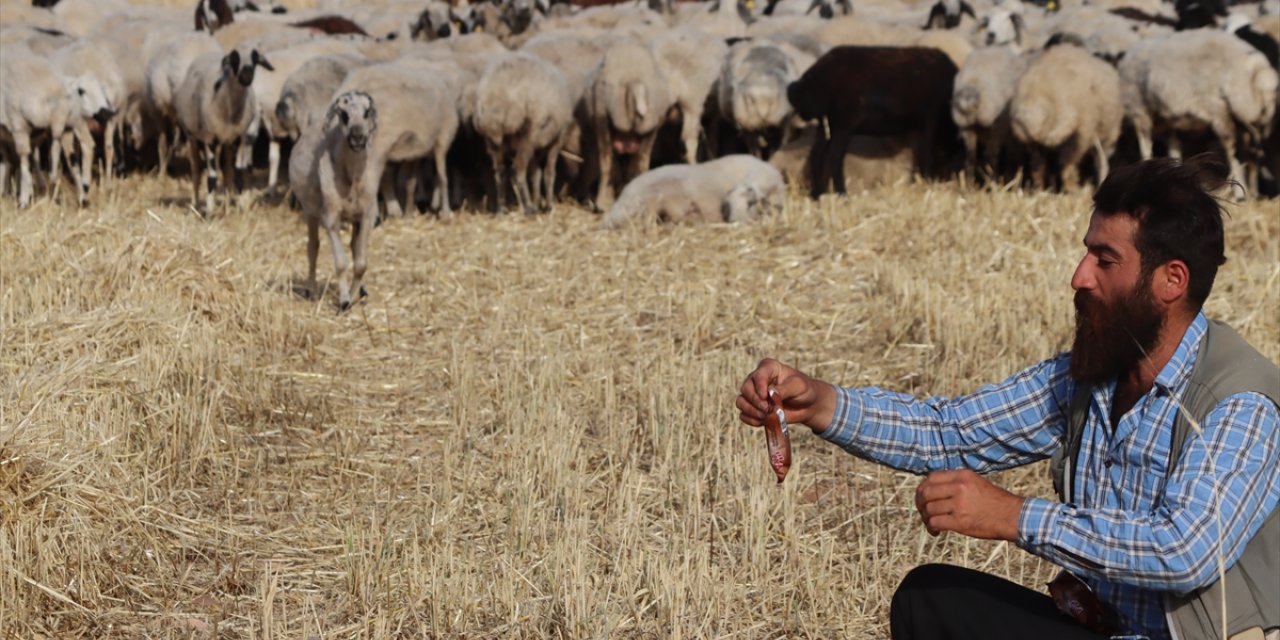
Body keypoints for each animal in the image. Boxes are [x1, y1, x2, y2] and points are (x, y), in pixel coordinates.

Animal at [174, 47, 273, 216]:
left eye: (254, 59)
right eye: (234, 59)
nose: (247, 73)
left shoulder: (240, 138)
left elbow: (237, 176)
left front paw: (240, 209)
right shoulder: (209, 139)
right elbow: (211, 178)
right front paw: (209, 212)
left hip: (226, 143)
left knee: (227, 172)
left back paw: (226, 207)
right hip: (193, 138)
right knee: (196, 172)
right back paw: (195, 205)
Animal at [473, 52, 573, 212]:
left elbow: (535, 174)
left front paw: (538, 201)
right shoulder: (557, 139)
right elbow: (549, 173)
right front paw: (548, 205)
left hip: (494, 141)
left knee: (500, 172)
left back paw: (502, 209)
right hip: (528, 134)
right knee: (517, 171)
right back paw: (528, 208)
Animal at [1008, 41, 1121, 189]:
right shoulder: (1106, 137)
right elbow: (1101, 163)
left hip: (1034, 143)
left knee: (1038, 168)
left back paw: (1040, 189)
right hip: (1079, 135)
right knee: (1068, 168)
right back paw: (1072, 190)